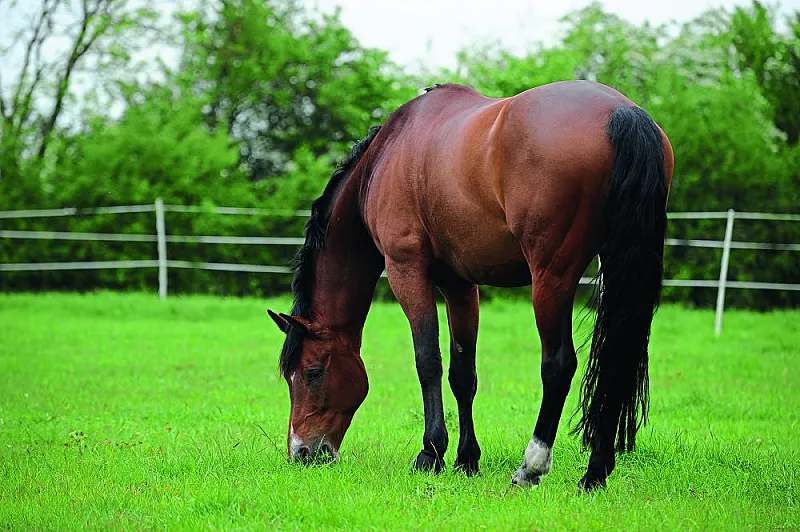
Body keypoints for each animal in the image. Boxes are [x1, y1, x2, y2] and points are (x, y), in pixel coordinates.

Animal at [267, 80, 674, 491]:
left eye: (311, 372)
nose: (302, 452)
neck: (384, 159)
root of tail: (622, 112)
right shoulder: (459, 285)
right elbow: (463, 373)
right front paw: (466, 459)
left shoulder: (406, 270)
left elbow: (428, 361)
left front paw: (430, 453)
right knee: (617, 363)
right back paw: (595, 473)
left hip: (552, 277)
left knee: (559, 365)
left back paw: (531, 467)